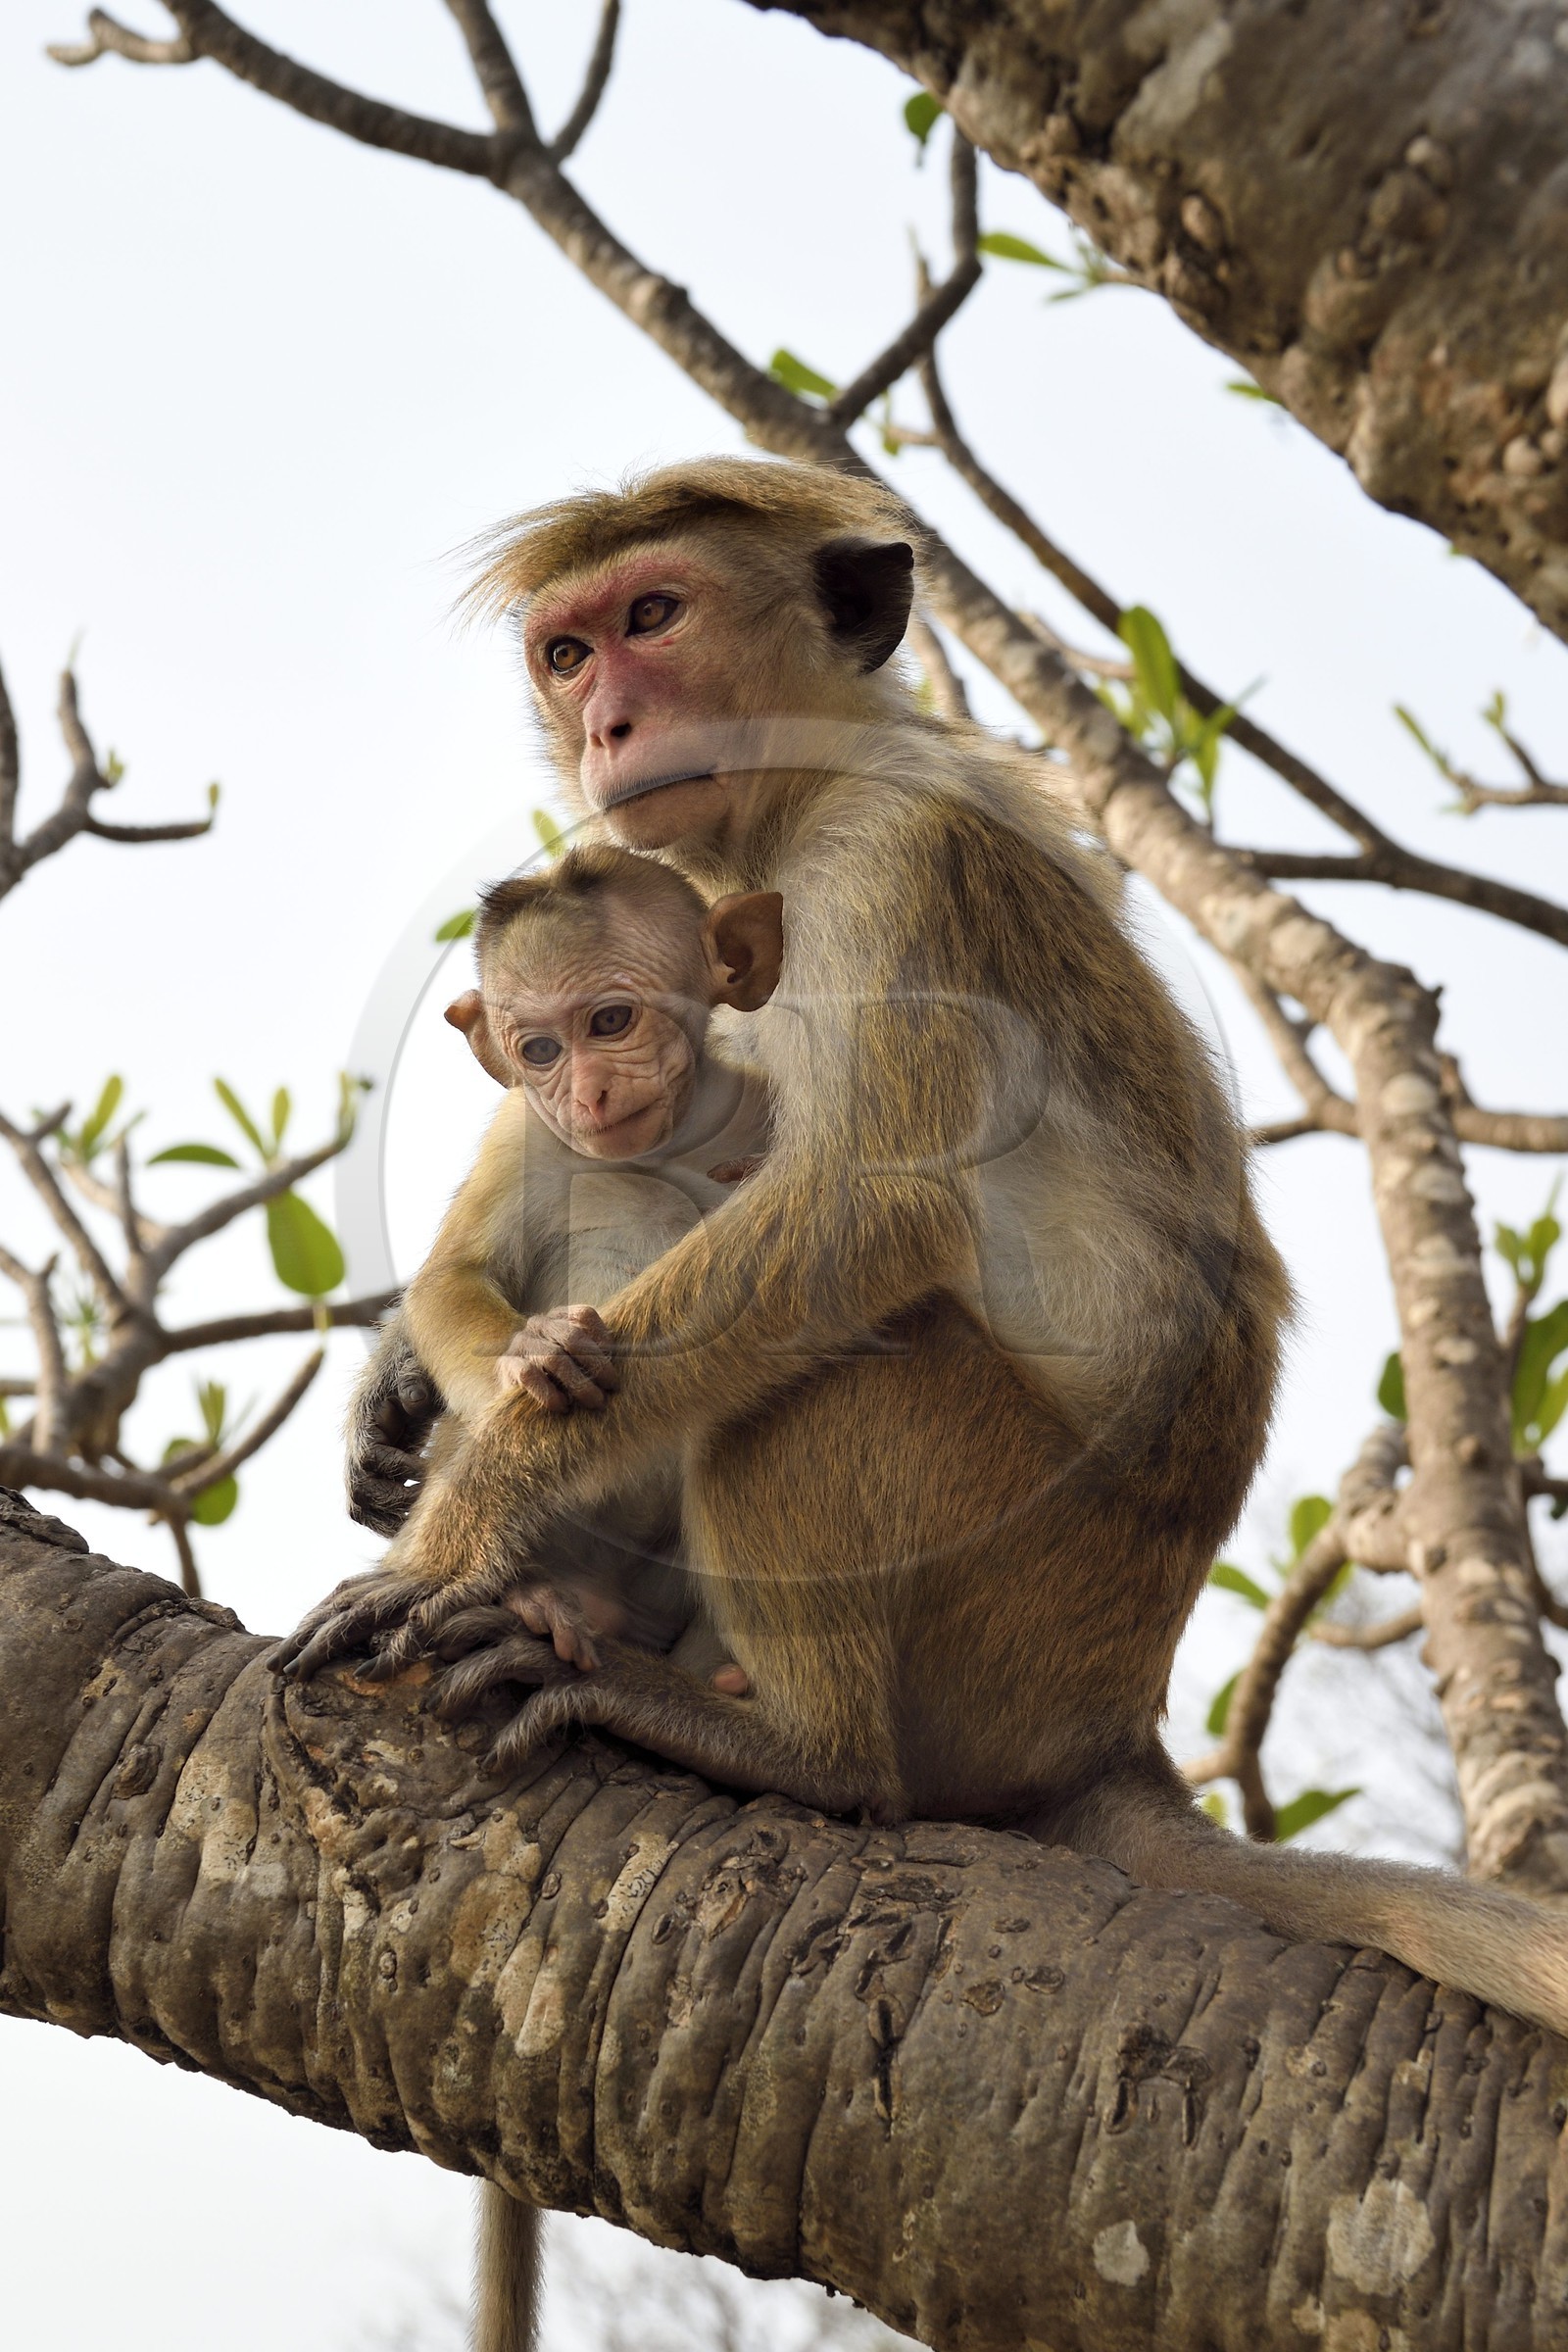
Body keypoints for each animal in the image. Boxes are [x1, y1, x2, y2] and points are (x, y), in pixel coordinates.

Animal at [278, 457, 1568, 2084]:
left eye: (655, 616)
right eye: (567, 652)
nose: (606, 723)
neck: (809, 793)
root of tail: (1111, 1727)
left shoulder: (891, 865)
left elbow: (858, 1215)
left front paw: (456, 1531)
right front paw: (404, 1388)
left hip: (1014, 1596)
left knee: (825, 1376)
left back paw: (791, 1748)